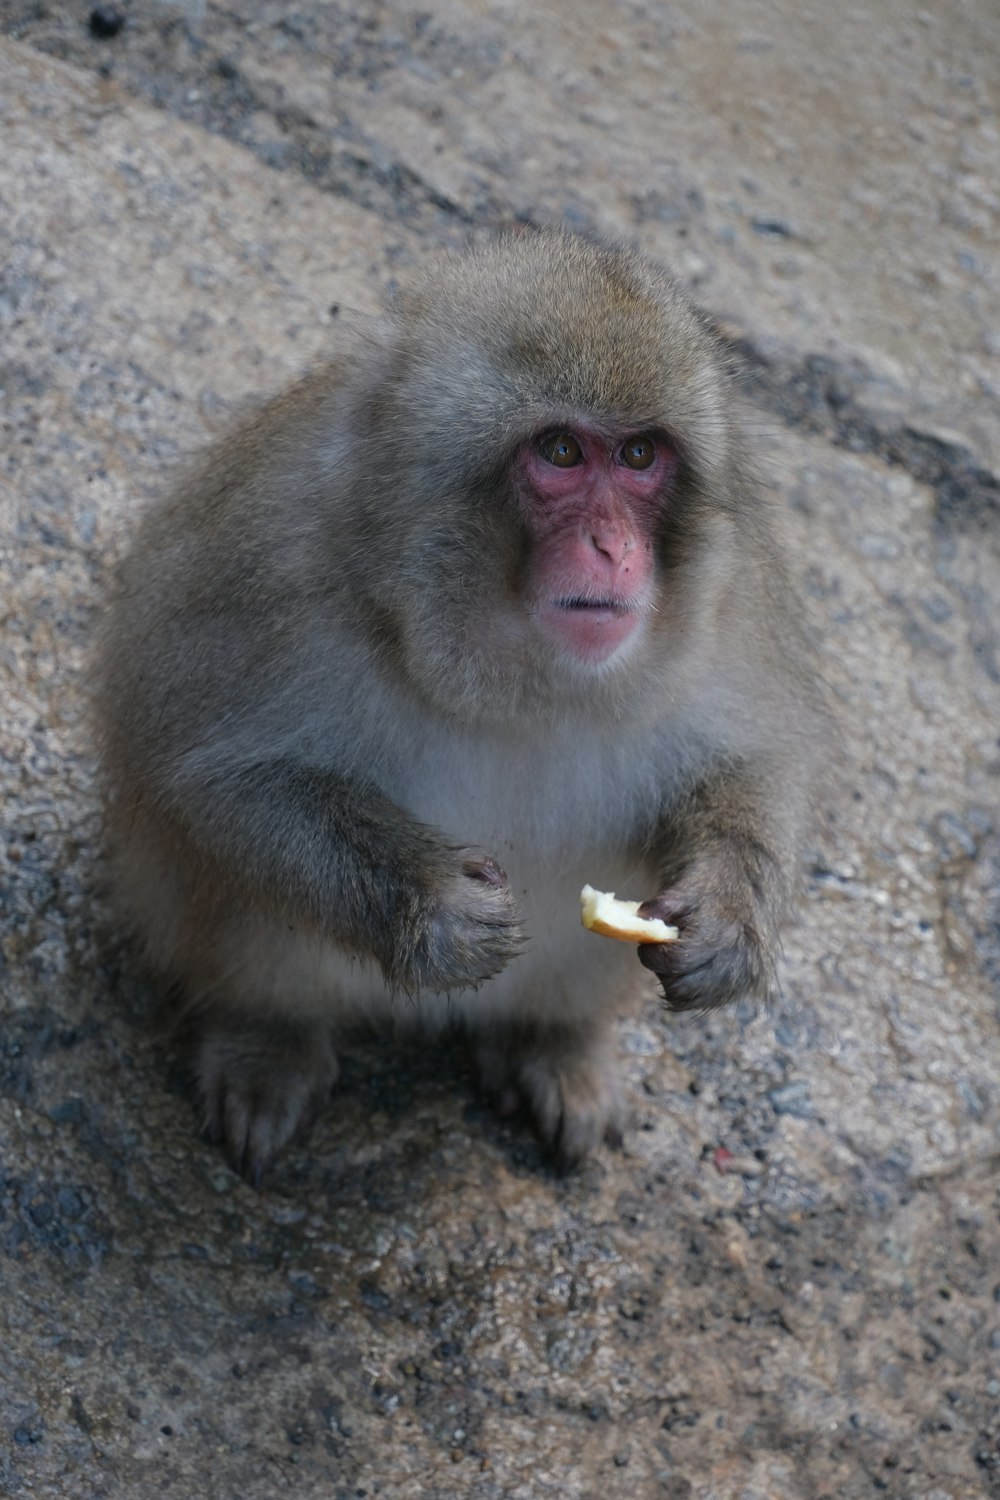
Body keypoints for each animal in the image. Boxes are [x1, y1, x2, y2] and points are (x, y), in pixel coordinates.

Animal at [93, 228, 827, 1182]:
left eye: (639, 457)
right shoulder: (267, 562)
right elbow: (216, 781)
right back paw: (267, 1037)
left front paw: (728, 921)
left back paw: (553, 1042)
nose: (613, 548)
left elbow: (754, 764)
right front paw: (433, 906)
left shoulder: (734, 596)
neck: (514, 676)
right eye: (561, 453)